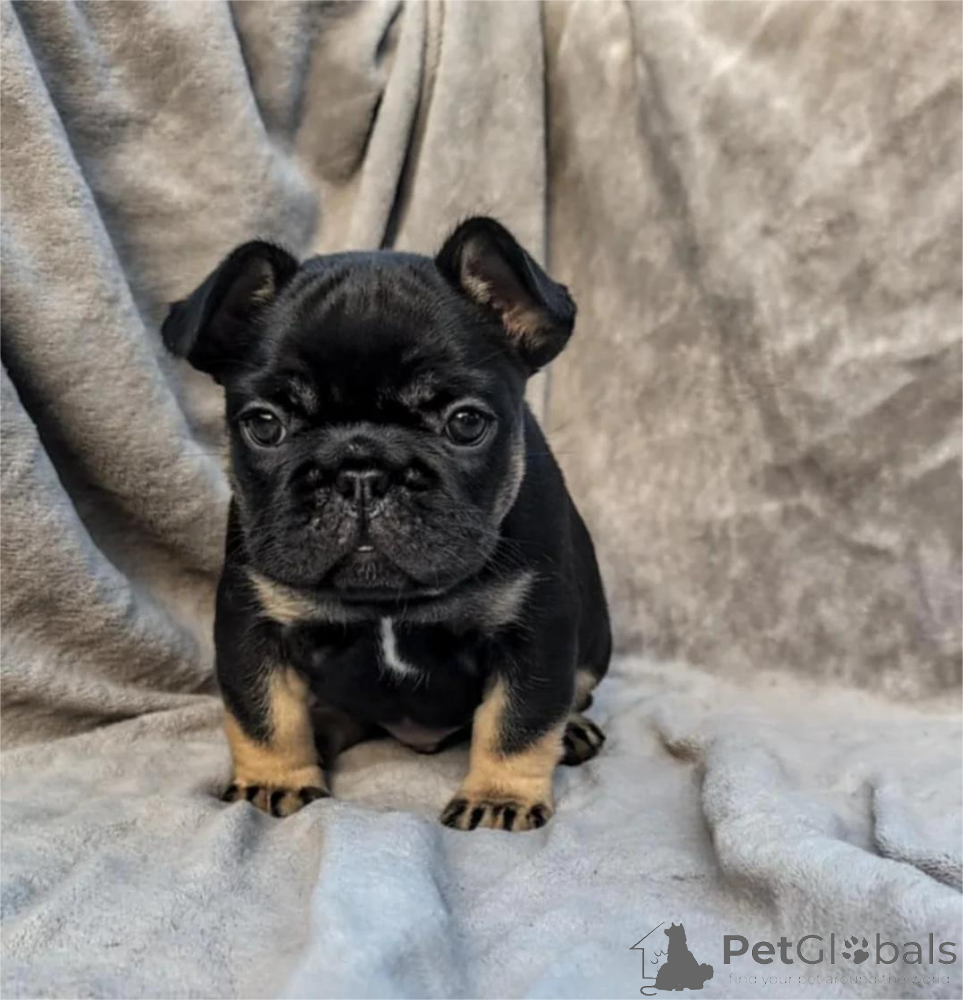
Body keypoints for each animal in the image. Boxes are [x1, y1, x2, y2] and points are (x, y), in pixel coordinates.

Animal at [162, 217, 611, 831]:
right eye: (265, 426)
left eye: (466, 423)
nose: (361, 472)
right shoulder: (253, 624)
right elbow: (264, 713)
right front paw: (275, 780)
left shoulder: (534, 629)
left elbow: (519, 719)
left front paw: (499, 797)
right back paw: (323, 726)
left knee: (573, 693)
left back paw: (573, 731)